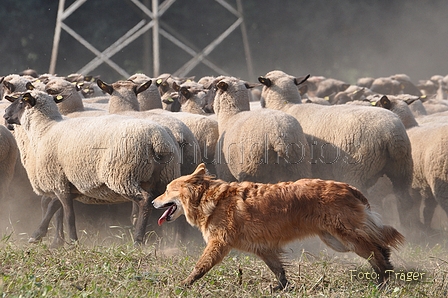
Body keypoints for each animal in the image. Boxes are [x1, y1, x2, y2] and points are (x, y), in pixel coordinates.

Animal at [3, 90, 182, 244]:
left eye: (21, 101)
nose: (5, 115)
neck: (44, 129)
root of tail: (157, 140)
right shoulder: (69, 183)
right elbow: (54, 206)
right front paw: (38, 235)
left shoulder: (58, 180)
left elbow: (68, 214)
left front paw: (73, 242)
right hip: (163, 177)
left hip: (122, 175)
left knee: (145, 200)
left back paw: (138, 239)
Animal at [152, 163, 404, 288]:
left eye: (166, 189)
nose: (153, 201)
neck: (210, 199)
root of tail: (349, 187)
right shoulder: (264, 248)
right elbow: (279, 271)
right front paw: (283, 288)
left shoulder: (218, 244)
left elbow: (200, 267)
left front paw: (184, 284)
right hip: (336, 240)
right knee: (379, 247)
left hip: (345, 237)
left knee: (376, 250)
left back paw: (384, 280)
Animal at [260, 70, 416, 228]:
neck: (285, 105)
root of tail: (392, 134)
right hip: (403, 169)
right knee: (405, 201)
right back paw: (410, 229)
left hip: (356, 171)